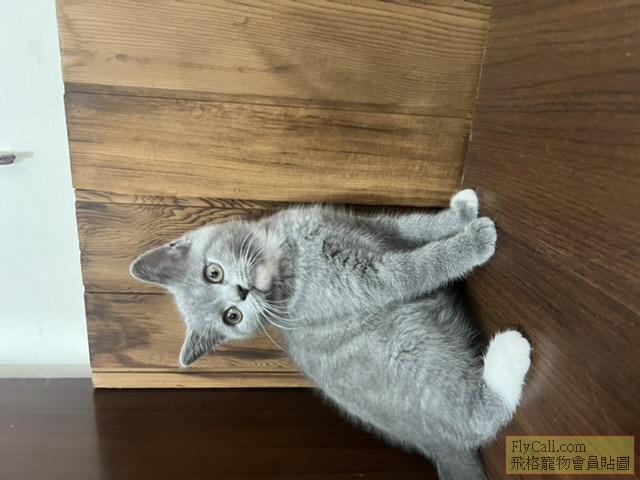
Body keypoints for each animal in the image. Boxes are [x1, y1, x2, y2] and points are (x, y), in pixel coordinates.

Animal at [130, 189, 531, 480]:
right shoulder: (369, 280)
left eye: (212, 273)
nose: (241, 293)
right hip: (410, 352)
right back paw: (509, 353)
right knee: (477, 419)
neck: (287, 251)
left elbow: (412, 226)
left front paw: (461, 210)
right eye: (233, 316)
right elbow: (416, 267)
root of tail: (435, 447)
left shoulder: (367, 225)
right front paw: (473, 240)